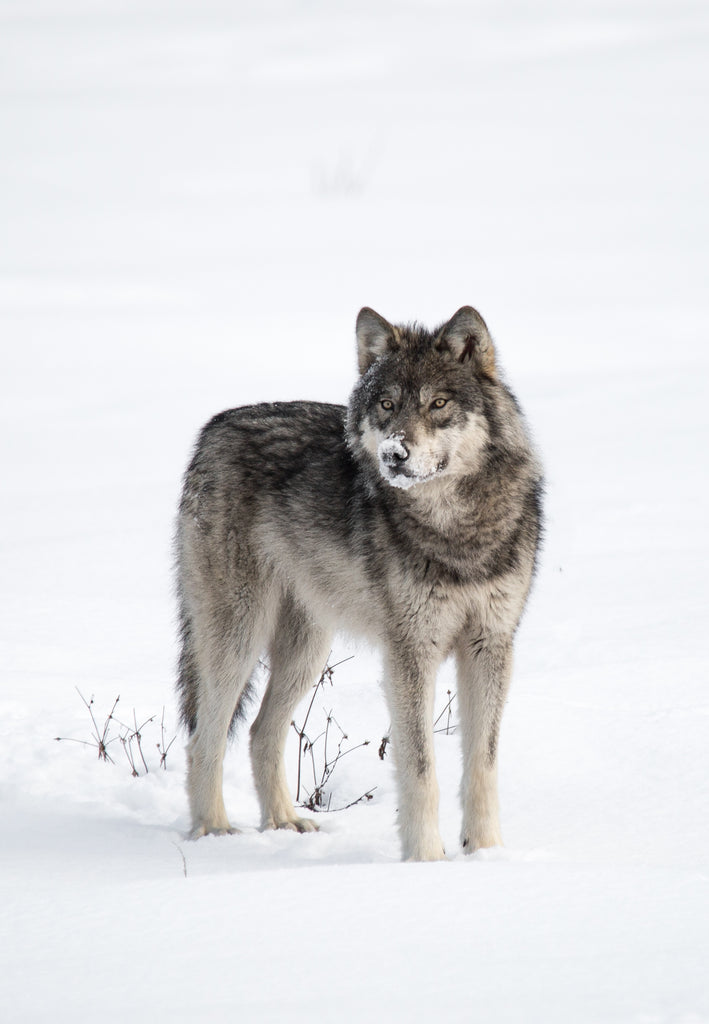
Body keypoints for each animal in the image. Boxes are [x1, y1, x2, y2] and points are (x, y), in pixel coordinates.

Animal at [175, 306, 542, 861]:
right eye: (387, 405)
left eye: (438, 404)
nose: (394, 454)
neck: (457, 531)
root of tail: (214, 428)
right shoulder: (411, 650)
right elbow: (421, 767)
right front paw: (427, 859)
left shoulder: (490, 644)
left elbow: (484, 763)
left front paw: (486, 853)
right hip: (238, 637)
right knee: (205, 739)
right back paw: (215, 832)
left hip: (307, 648)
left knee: (261, 732)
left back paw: (284, 823)